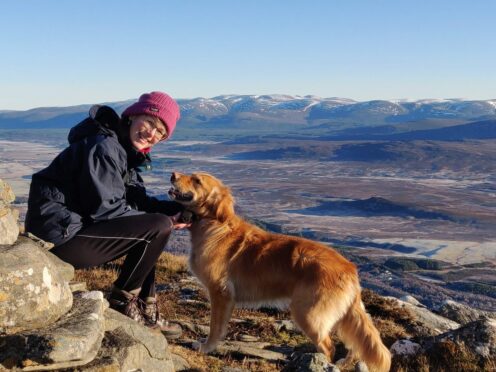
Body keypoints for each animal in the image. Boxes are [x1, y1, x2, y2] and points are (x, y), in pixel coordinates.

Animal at [170, 172, 392, 372]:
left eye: (197, 180)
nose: (173, 175)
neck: (214, 223)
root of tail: (349, 269)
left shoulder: (220, 293)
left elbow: (215, 327)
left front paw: (206, 347)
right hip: (343, 316)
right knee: (354, 345)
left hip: (308, 313)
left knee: (329, 347)